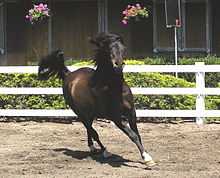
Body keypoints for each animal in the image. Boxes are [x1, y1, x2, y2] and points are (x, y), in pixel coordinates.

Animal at [37, 32, 155, 167]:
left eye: (123, 49)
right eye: (108, 49)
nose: (118, 65)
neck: (114, 88)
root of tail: (68, 74)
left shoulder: (131, 113)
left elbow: (137, 134)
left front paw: (146, 156)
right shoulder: (116, 118)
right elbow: (132, 135)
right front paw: (147, 159)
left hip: (90, 113)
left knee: (90, 129)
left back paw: (93, 148)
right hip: (80, 113)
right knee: (92, 130)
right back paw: (105, 151)